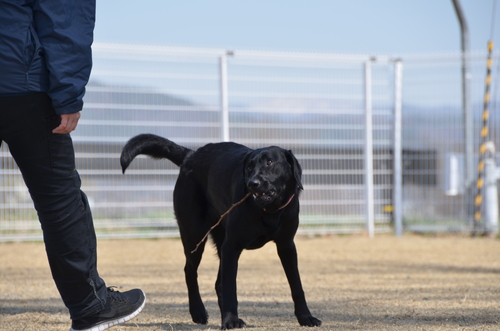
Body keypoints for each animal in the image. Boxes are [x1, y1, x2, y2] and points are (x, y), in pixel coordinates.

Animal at [121, 134, 320, 330]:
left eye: (269, 162)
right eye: (249, 167)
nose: (252, 183)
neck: (269, 211)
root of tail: (191, 155)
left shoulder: (286, 246)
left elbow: (297, 286)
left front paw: (305, 317)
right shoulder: (232, 246)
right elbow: (231, 287)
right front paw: (230, 321)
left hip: (219, 242)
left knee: (217, 282)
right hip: (194, 236)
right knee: (190, 271)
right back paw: (198, 312)